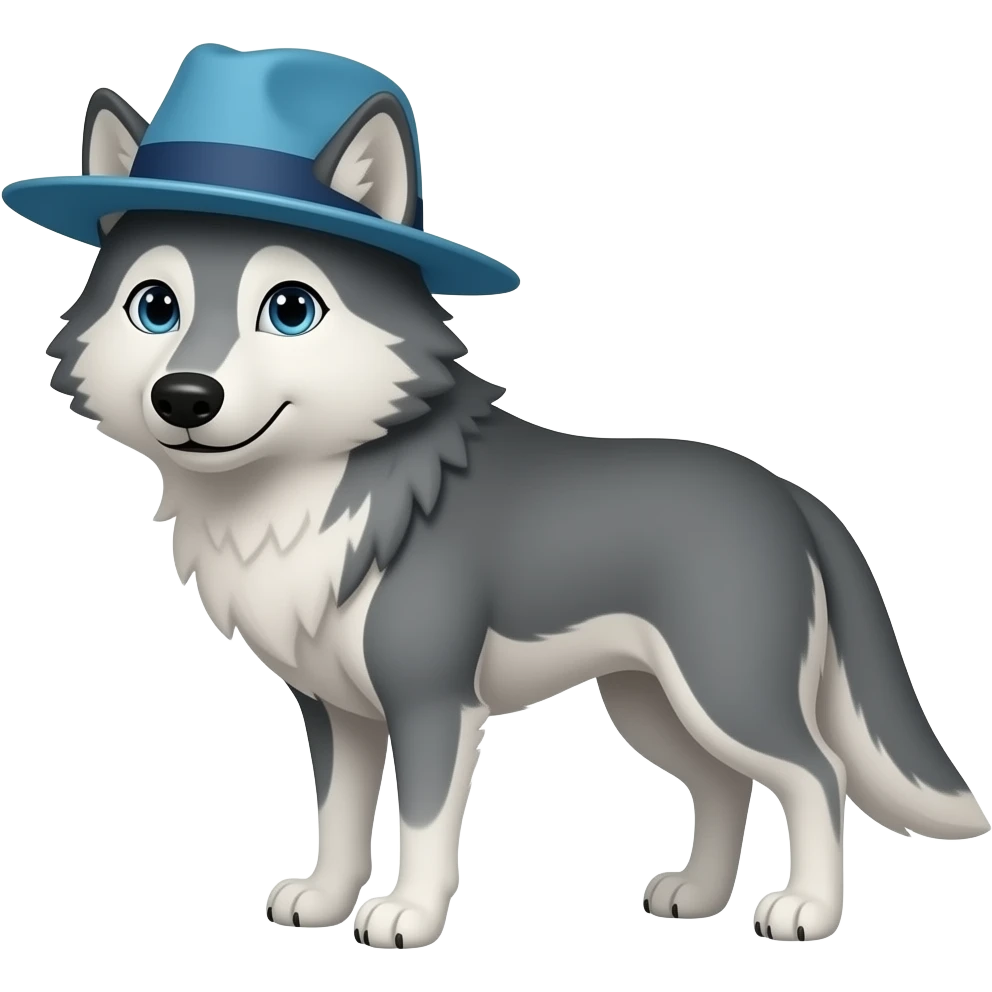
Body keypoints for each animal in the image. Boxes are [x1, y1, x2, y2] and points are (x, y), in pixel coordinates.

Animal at [29, 83, 990, 950]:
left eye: (291, 310)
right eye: (156, 307)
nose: (185, 397)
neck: (300, 499)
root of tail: (791, 493)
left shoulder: (431, 700)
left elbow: (420, 827)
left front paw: (407, 918)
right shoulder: (335, 710)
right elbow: (337, 816)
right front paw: (324, 901)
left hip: (725, 691)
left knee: (816, 776)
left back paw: (808, 912)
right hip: (651, 706)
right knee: (724, 787)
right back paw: (697, 896)